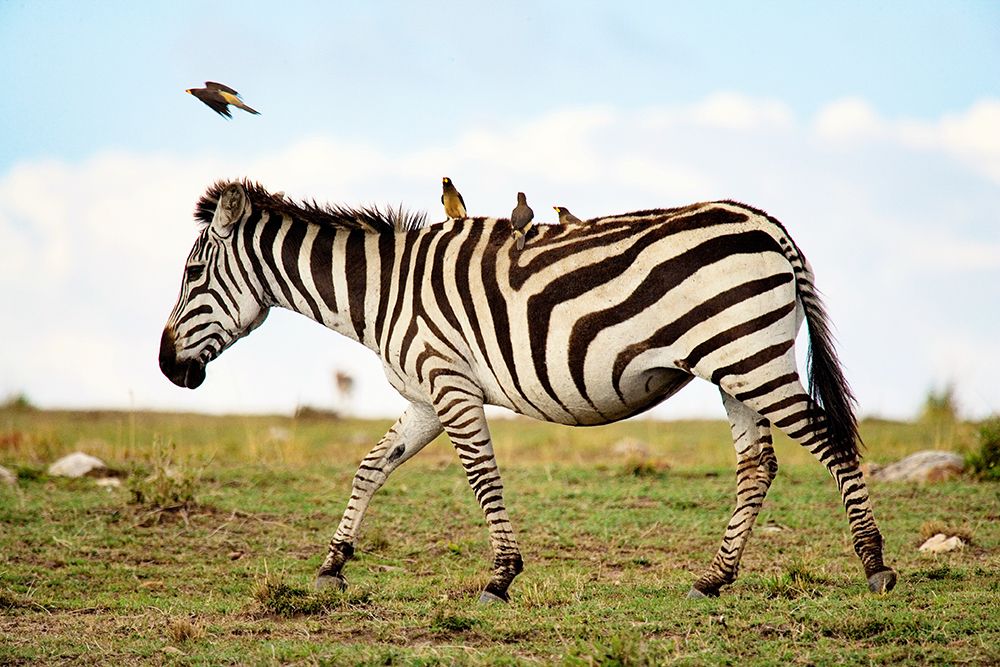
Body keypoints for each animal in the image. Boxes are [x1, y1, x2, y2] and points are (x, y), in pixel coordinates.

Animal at [159, 180, 897, 602]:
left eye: (192, 274)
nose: (167, 367)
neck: (385, 294)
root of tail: (766, 223)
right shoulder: (424, 396)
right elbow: (371, 465)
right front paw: (334, 562)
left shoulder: (450, 384)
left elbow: (482, 475)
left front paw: (501, 576)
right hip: (736, 366)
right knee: (757, 465)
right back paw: (715, 579)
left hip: (752, 357)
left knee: (831, 445)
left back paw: (874, 564)